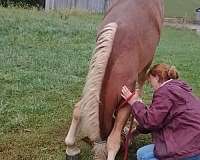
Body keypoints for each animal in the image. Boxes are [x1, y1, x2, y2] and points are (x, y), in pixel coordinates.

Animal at [65, 0, 163, 159]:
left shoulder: (126, 103)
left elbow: (113, 141)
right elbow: (78, 109)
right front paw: (71, 147)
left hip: (147, 62)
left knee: (141, 83)